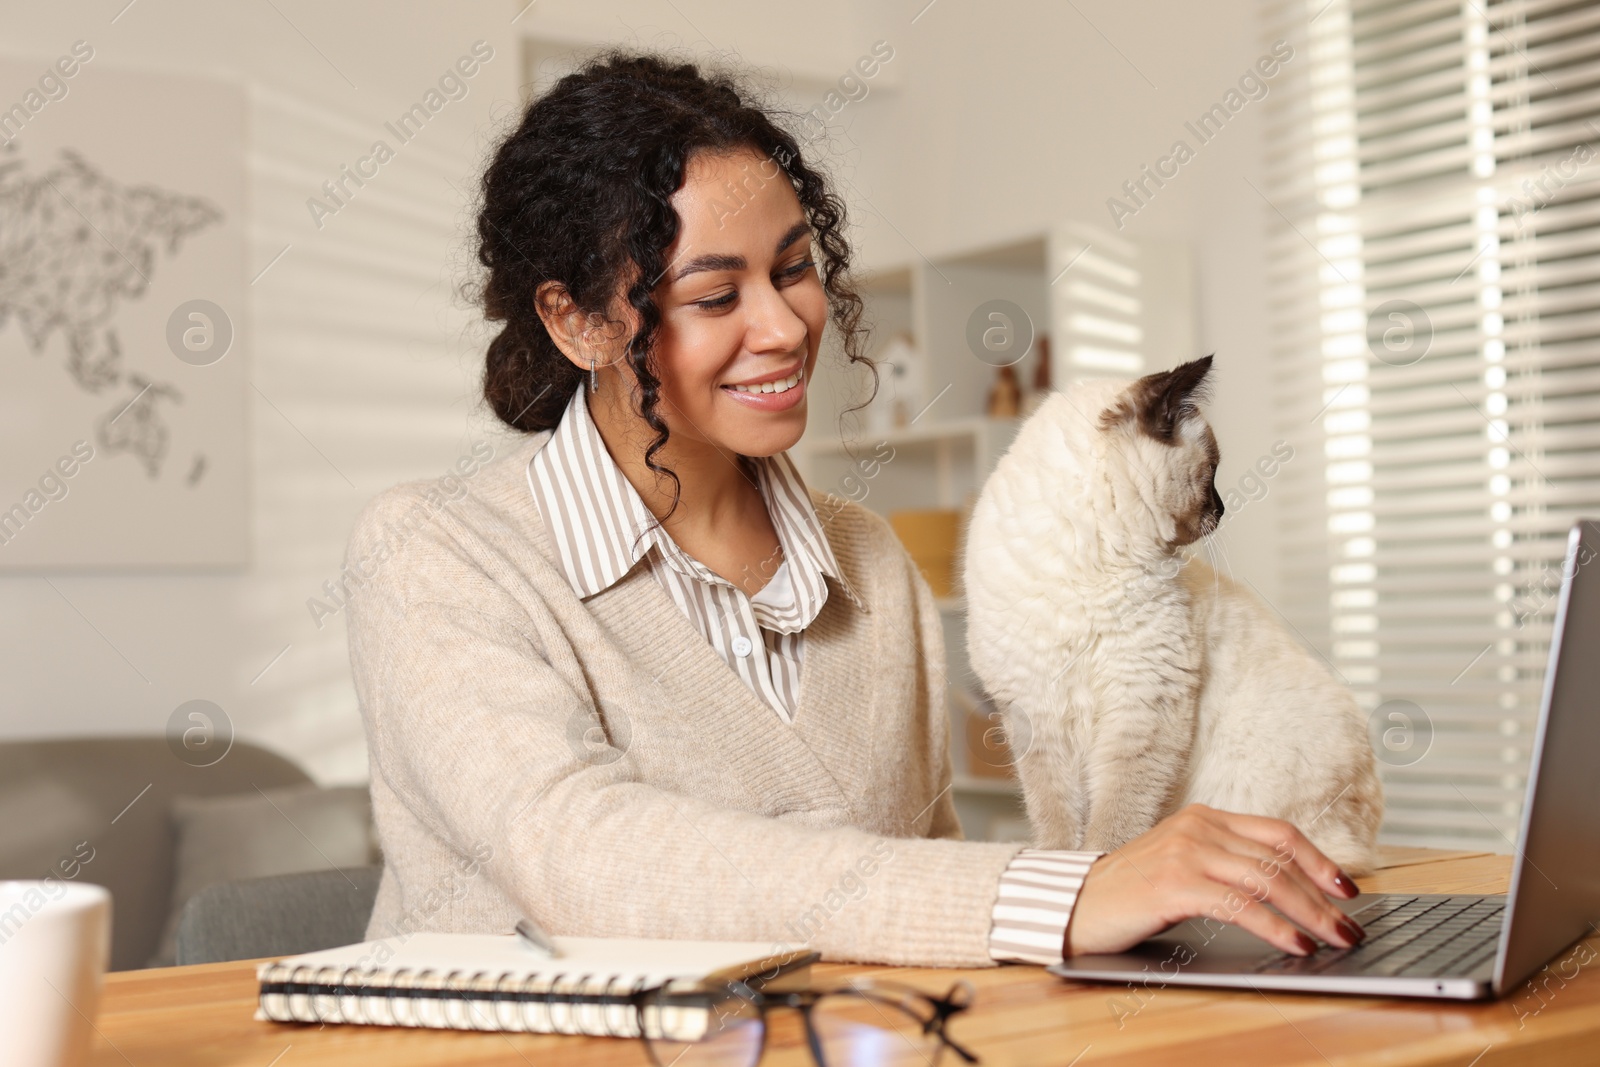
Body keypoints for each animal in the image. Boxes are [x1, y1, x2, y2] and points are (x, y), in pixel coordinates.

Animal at [953, 358, 1382, 876]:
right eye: (1212, 470)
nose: (1222, 509)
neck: (1089, 561)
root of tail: (1368, 839)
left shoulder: (1143, 702)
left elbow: (1115, 819)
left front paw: (1098, 866)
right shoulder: (1036, 713)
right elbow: (1054, 821)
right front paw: (1059, 864)